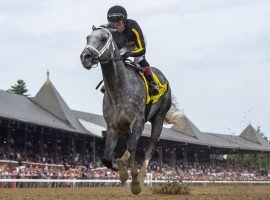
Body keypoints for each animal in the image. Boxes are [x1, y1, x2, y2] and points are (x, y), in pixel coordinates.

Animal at [80, 26, 173, 194]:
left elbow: (130, 148)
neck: (119, 90)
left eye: (103, 38)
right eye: (88, 38)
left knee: (149, 148)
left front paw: (126, 174)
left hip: (159, 118)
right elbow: (108, 158)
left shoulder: (138, 122)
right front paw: (122, 172)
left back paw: (140, 178)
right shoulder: (113, 126)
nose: (85, 56)